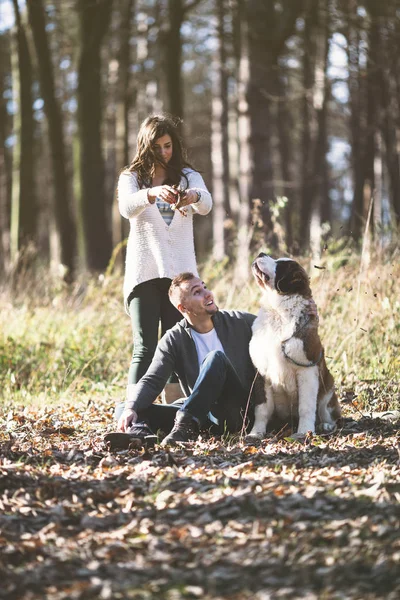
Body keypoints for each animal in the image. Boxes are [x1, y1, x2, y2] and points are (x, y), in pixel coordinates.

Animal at [247, 251, 340, 438]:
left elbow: (306, 407)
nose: (261, 253)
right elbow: (262, 408)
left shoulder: (307, 371)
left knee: (329, 413)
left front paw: (304, 432)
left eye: (279, 265)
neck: (277, 313)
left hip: (328, 391)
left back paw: (326, 425)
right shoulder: (261, 372)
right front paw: (256, 432)